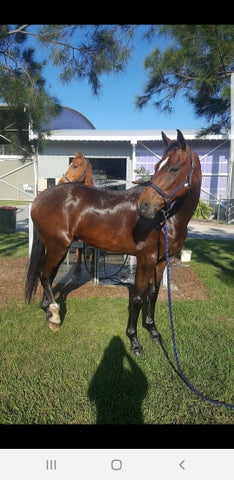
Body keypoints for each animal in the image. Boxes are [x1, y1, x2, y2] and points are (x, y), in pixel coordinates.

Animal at [25, 131, 201, 356]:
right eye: (156, 167)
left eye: (174, 168)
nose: (144, 206)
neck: (165, 219)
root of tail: (41, 198)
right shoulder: (145, 259)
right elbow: (138, 298)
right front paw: (134, 341)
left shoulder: (161, 261)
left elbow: (153, 294)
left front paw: (153, 332)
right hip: (58, 247)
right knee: (44, 274)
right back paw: (54, 316)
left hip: (57, 248)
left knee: (48, 275)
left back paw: (47, 309)